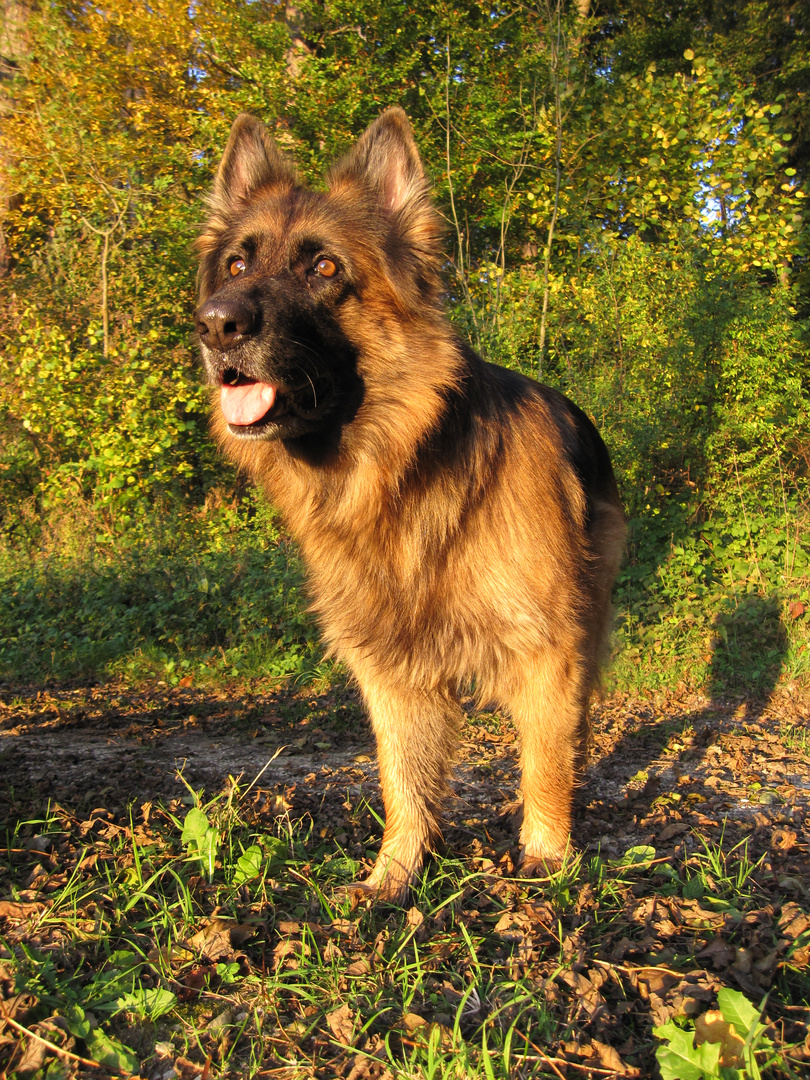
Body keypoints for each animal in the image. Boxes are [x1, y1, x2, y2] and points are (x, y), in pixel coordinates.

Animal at [196, 109, 626, 902]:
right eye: (236, 266)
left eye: (324, 268)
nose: (215, 325)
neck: (402, 473)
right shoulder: (390, 669)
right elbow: (403, 780)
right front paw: (395, 876)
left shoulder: (545, 651)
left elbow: (543, 766)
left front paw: (546, 863)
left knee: (571, 727)